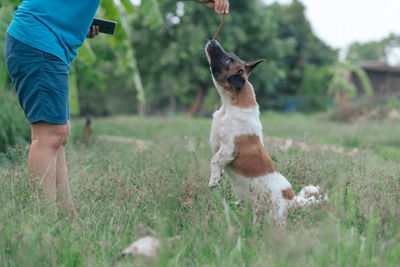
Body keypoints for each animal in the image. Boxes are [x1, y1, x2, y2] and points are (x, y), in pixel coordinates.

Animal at [205, 40, 326, 226]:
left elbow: (215, 160)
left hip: (268, 214)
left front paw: (213, 181)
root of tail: (292, 200)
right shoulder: (218, 144)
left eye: (228, 60)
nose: (213, 41)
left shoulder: (229, 148)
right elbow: (217, 161)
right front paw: (219, 175)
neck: (228, 106)